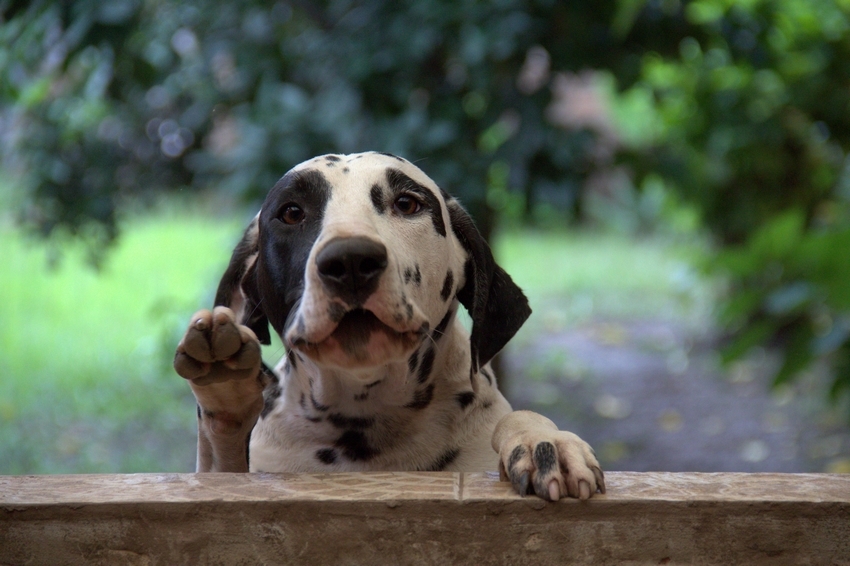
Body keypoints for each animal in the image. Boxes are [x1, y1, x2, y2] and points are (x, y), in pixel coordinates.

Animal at [174, 151, 604, 502]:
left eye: (407, 203)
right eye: (292, 212)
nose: (350, 260)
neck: (366, 415)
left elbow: (518, 418)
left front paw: (542, 441)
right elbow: (216, 468)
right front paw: (225, 392)